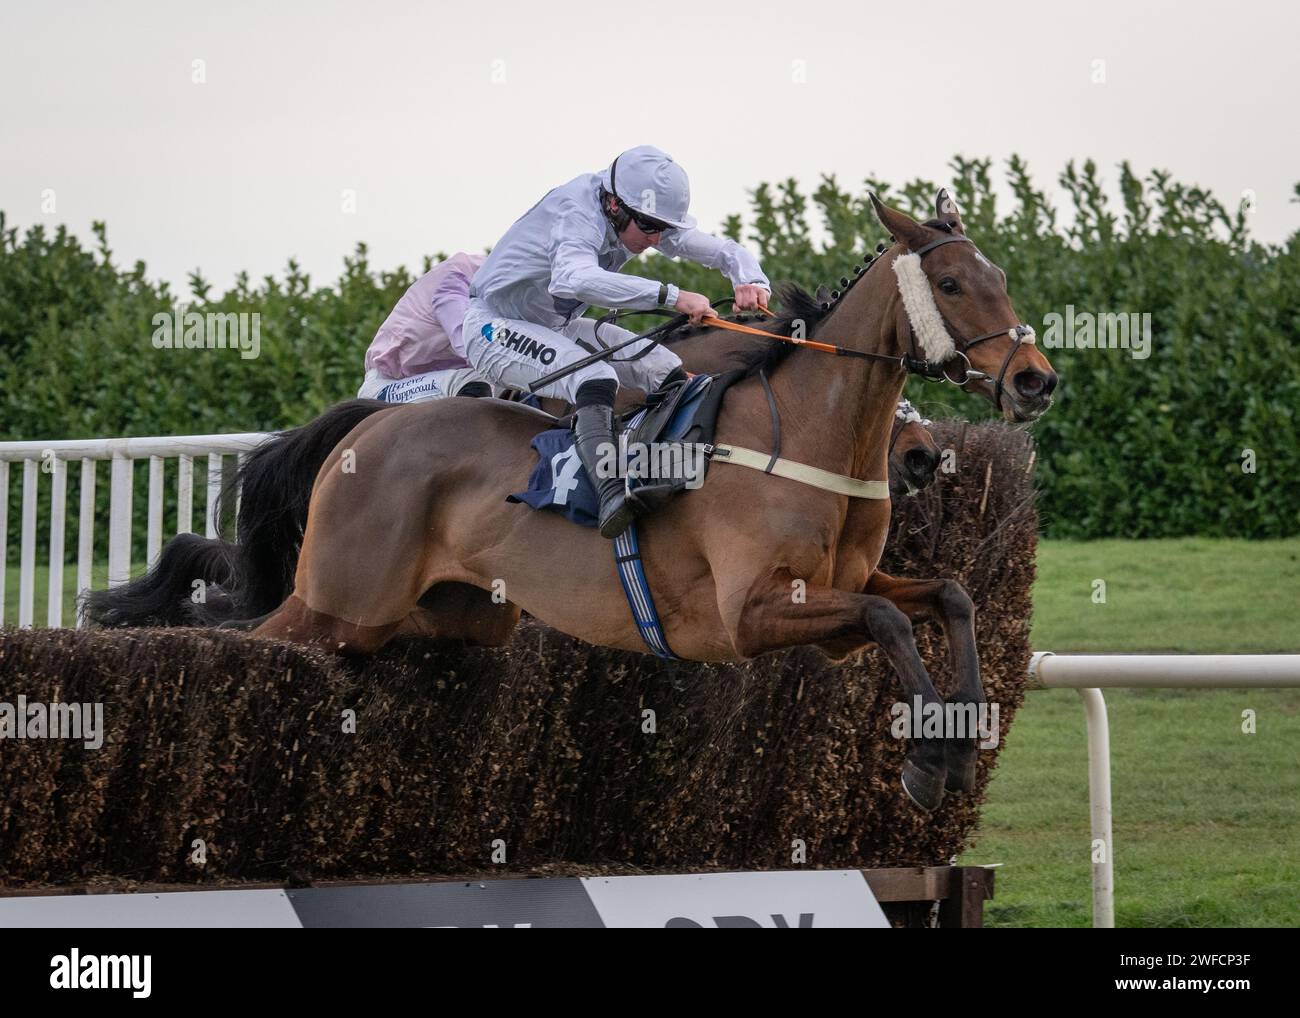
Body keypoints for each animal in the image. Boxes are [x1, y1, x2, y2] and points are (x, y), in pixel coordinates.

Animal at [245, 193, 1055, 811]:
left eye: (1000, 274)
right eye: (949, 284)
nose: (1035, 381)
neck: (798, 433)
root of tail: (369, 424)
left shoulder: (845, 592)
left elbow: (949, 597)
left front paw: (957, 749)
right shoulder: (751, 611)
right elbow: (890, 619)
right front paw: (927, 760)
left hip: (449, 616)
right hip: (340, 603)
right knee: (256, 641)